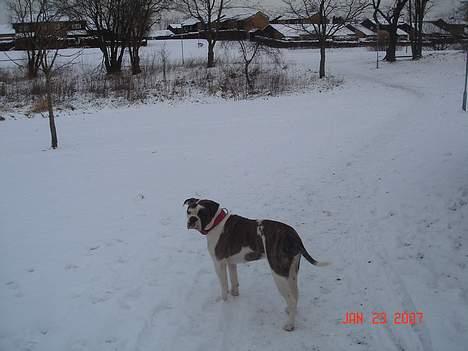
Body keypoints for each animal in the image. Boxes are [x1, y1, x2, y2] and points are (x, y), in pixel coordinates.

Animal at [184, 198, 330, 332]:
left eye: (202, 213)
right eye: (189, 212)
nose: (192, 219)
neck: (216, 223)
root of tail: (293, 235)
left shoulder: (219, 264)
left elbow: (224, 286)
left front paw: (223, 301)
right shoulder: (231, 263)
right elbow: (234, 281)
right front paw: (235, 294)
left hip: (278, 273)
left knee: (292, 299)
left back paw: (289, 325)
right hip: (292, 271)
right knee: (295, 294)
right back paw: (290, 311)